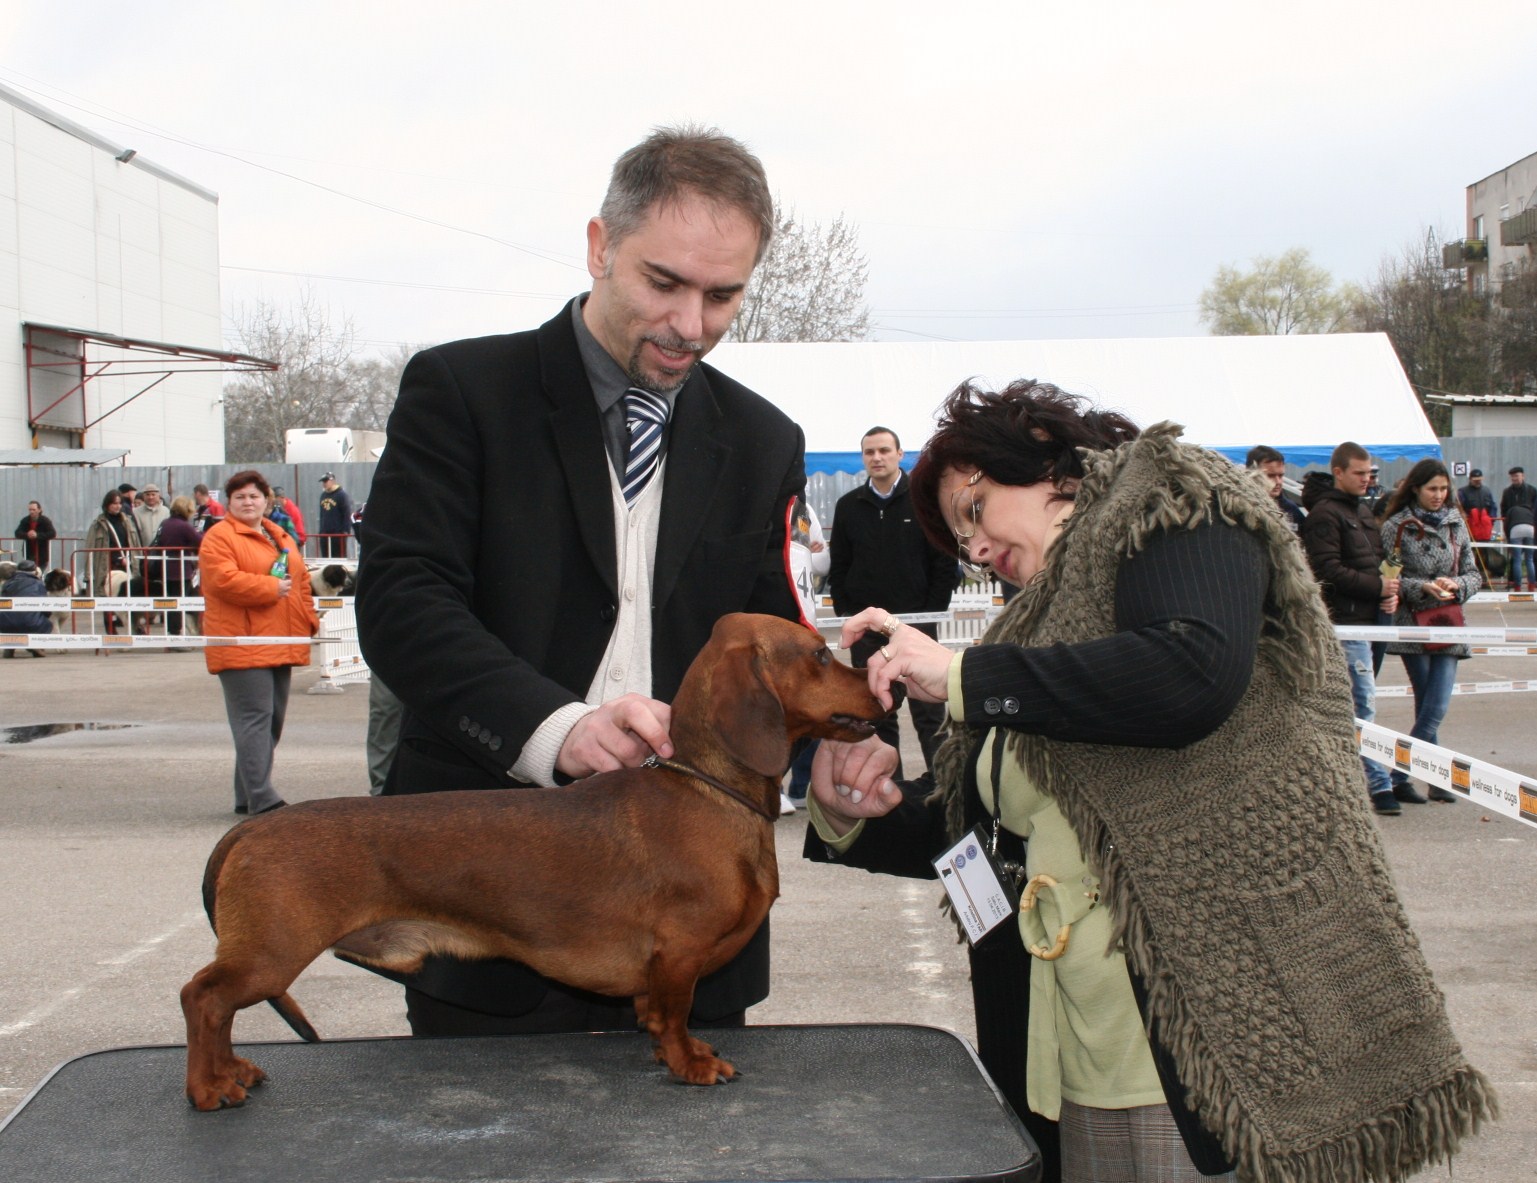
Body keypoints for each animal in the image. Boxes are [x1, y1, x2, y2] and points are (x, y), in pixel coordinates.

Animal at [180, 612, 888, 1110]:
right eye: (819, 654)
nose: (885, 682)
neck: (706, 789)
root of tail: (252, 830)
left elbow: (654, 1017)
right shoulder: (679, 954)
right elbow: (675, 1017)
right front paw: (692, 1064)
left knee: (216, 1007)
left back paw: (230, 1070)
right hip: (272, 951)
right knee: (203, 998)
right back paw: (209, 1087)